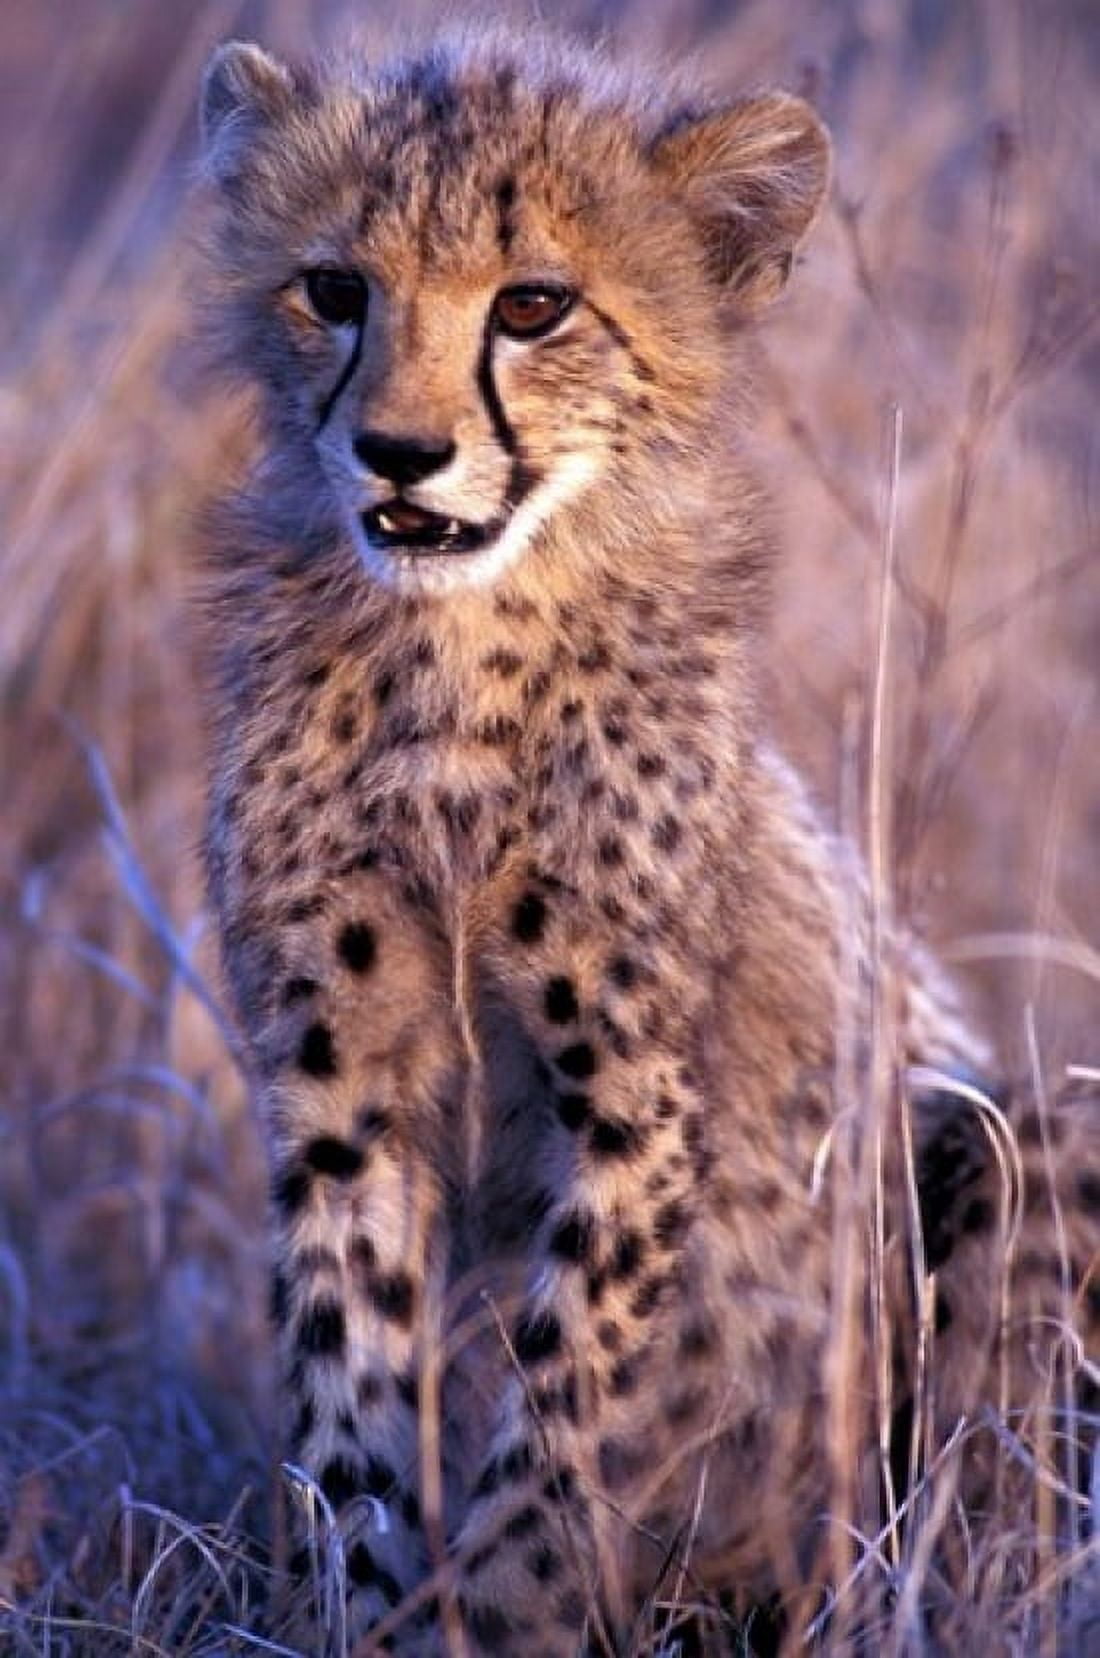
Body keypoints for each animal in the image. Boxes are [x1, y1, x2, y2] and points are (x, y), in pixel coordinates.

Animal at [194, 28, 1099, 1655]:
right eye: (335, 289)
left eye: (533, 305)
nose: (398, 452)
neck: (456, 656)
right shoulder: (337, 1086)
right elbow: (350, 1390)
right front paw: (369, 1606)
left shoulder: (634, 1092)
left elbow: (569, 1397)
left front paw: (501, 1606)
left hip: (1020, 1127)